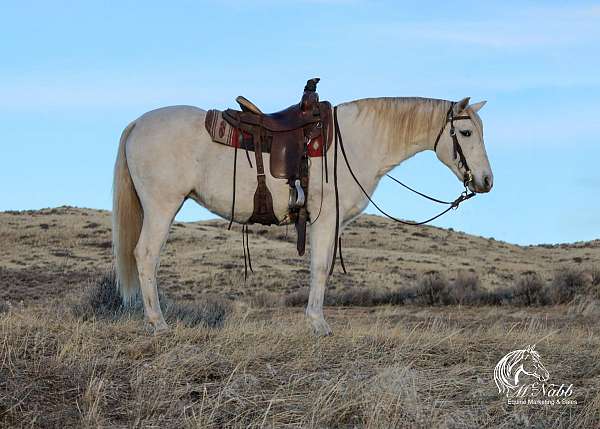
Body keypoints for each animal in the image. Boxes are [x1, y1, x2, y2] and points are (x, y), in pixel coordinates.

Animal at [111, 94, 492, 334]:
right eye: (466, 132)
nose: (486, 181)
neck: (355, 143)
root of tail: (138, 123)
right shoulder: (326, 219)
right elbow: (320, 269)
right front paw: (318, 324)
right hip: (162, 206)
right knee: (146, 256)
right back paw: (158, 323)